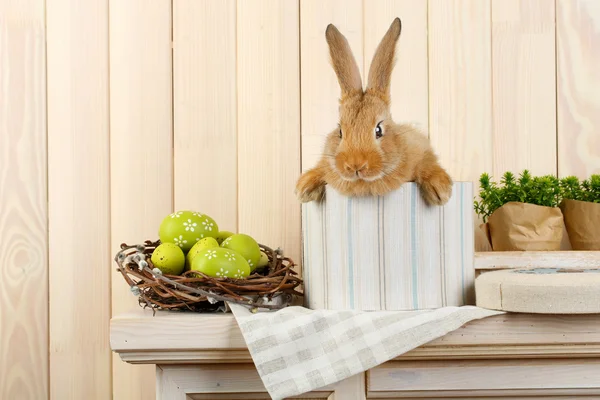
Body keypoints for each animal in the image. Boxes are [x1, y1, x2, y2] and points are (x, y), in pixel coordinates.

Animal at [296, 18, 450, 206]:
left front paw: (440, 190)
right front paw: (304, 188)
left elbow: (427, 163)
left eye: (379, 130)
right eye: (340, 131)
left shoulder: (421, 149)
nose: (355, 165)